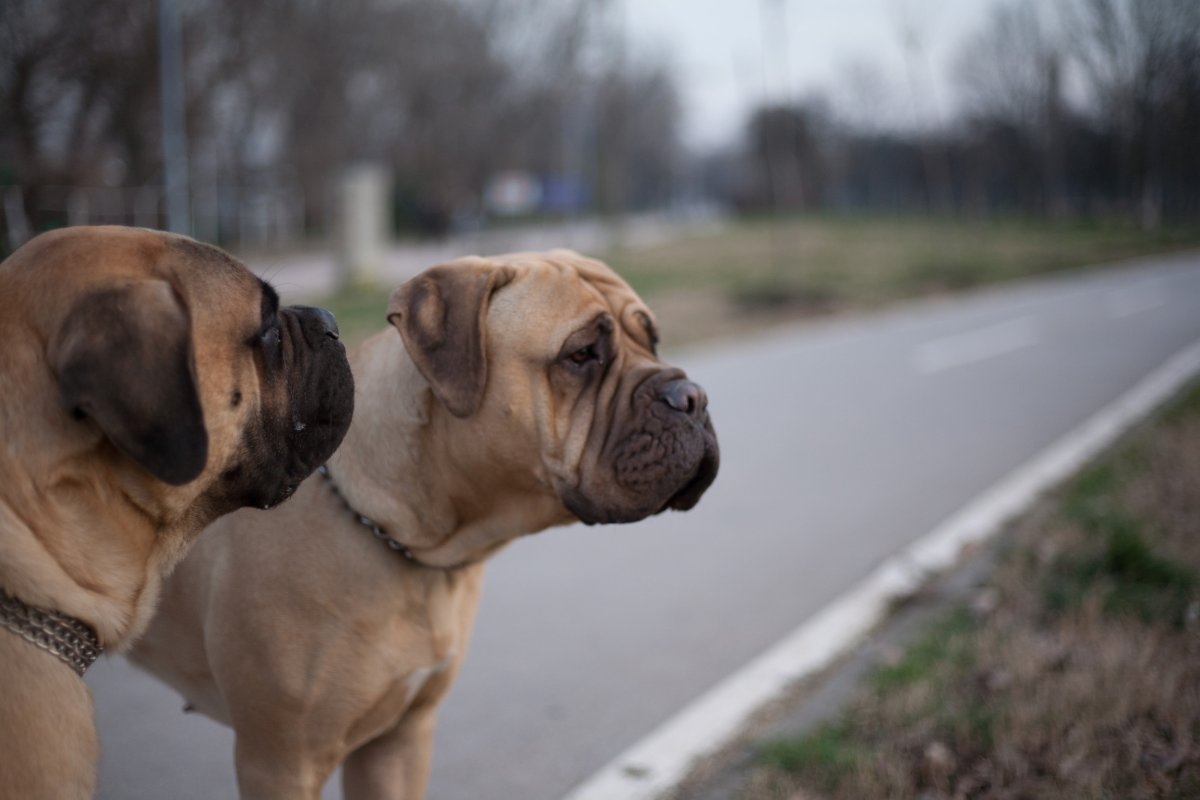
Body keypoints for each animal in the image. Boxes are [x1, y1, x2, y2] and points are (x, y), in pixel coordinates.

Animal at [133, 251, 710, 800]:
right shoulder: (279, 764)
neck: (410, 536)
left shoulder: (399, 741)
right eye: (581, 354)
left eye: (652, 338)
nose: (692, 398)